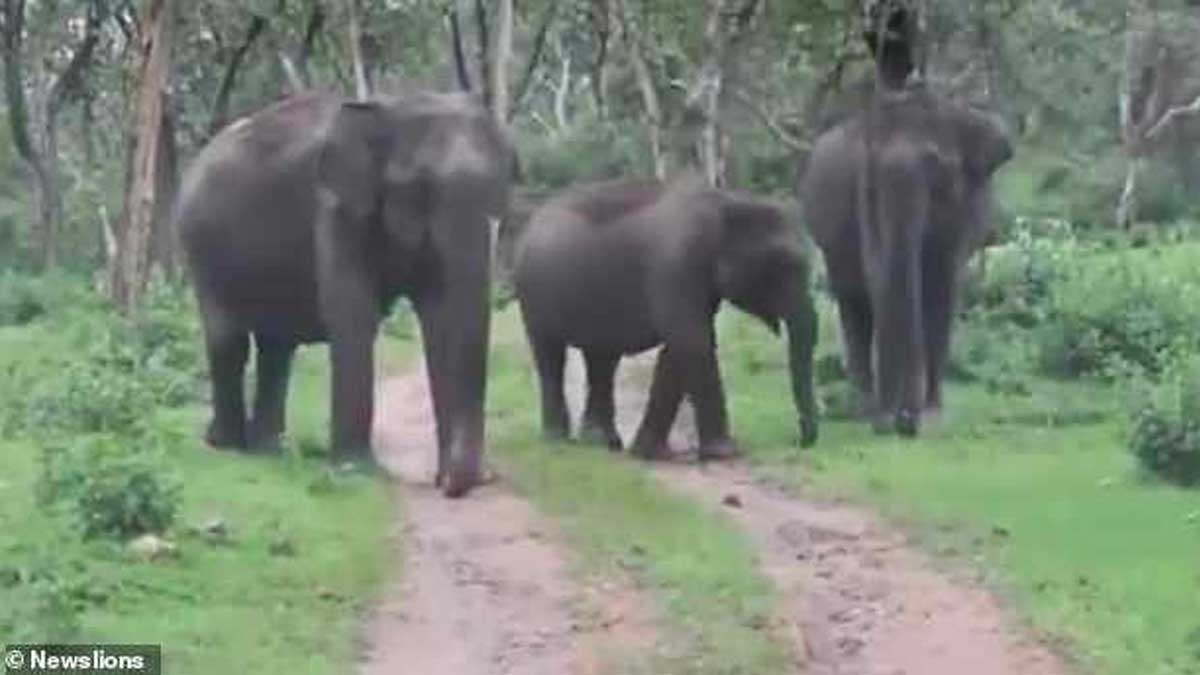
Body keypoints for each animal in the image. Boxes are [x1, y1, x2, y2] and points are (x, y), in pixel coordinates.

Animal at [175, 91, 513, 498]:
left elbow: (440, 317)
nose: (449, 483)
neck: (391, 107)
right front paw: (355, 473)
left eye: (500, 188)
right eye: (419, 187)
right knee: (229, 340)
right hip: (202, 246)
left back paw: (268, 448)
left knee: (276, 348)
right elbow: (353, 316)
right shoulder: (335, 210)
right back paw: (227, 445)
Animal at [512, 177, 819, 459]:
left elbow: (682, 348)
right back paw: (558, 440)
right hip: (534, 291)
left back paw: (602, 443)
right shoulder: (678, 264)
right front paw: (725, 452)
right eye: (783, 266)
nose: (799, 441)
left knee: (602, 360)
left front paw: (649, 452)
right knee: (550, 356)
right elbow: (692, 342)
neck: (727, 202)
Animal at [799, 85, 1012, 436]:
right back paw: (864, 408)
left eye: (934, 164)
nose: (903, 422)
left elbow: (941, 290)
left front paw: (933, 416)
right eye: (869, 169)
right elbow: (881, 280)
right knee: (855, 306)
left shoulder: (962, 210)